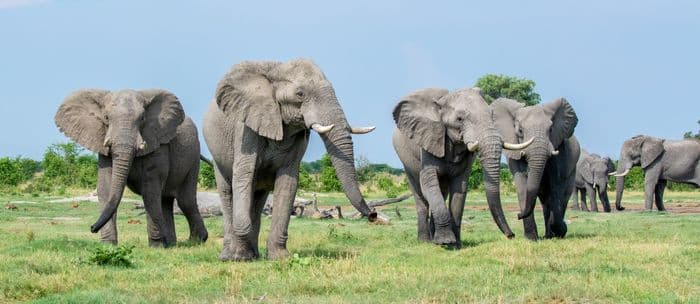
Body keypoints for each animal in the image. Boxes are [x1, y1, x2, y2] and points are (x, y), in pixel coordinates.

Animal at [54, 88, 208, 247]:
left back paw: (196, 240)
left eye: (142, 119)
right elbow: (106, 188)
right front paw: (108, 245)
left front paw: (156, 246)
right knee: (165, 200)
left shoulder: (156, 142)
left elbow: (150, 190)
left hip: (193, 156)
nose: (92, 228)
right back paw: (171, 244)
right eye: (106, 118)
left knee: (185, 201)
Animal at [202, 58, 378, 262]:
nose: (373, 215)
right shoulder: (245, 130)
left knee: (258, 198)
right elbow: (243, 177)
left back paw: (253, 255)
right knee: (227, 191)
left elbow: (288, 183)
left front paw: (281, 258)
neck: (277, 69)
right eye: (300, 94)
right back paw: (230, 256)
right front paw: (239, 256)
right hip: (217, 156)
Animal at [388, 87, 532, 245]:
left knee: (442, 191)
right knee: (420, 194)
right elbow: (429, 184)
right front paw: (445, 241)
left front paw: (455, 244)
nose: (511, 235)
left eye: (492, 116)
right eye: (459, 119)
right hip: (405, 158)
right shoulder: (429, 138)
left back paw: (434, 239)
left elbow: (459, 188)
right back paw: (425, 241)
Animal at [492, 97, 580, 240]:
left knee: (563, 195)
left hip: (573, 171)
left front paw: (560, 230)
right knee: (545, 201)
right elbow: (522, 184)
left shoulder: (559, 149)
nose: (518, 215)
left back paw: (553, 233)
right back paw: (548, 235)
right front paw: (531, 238)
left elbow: (556, 185)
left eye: (551, 129)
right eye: (520, 131)